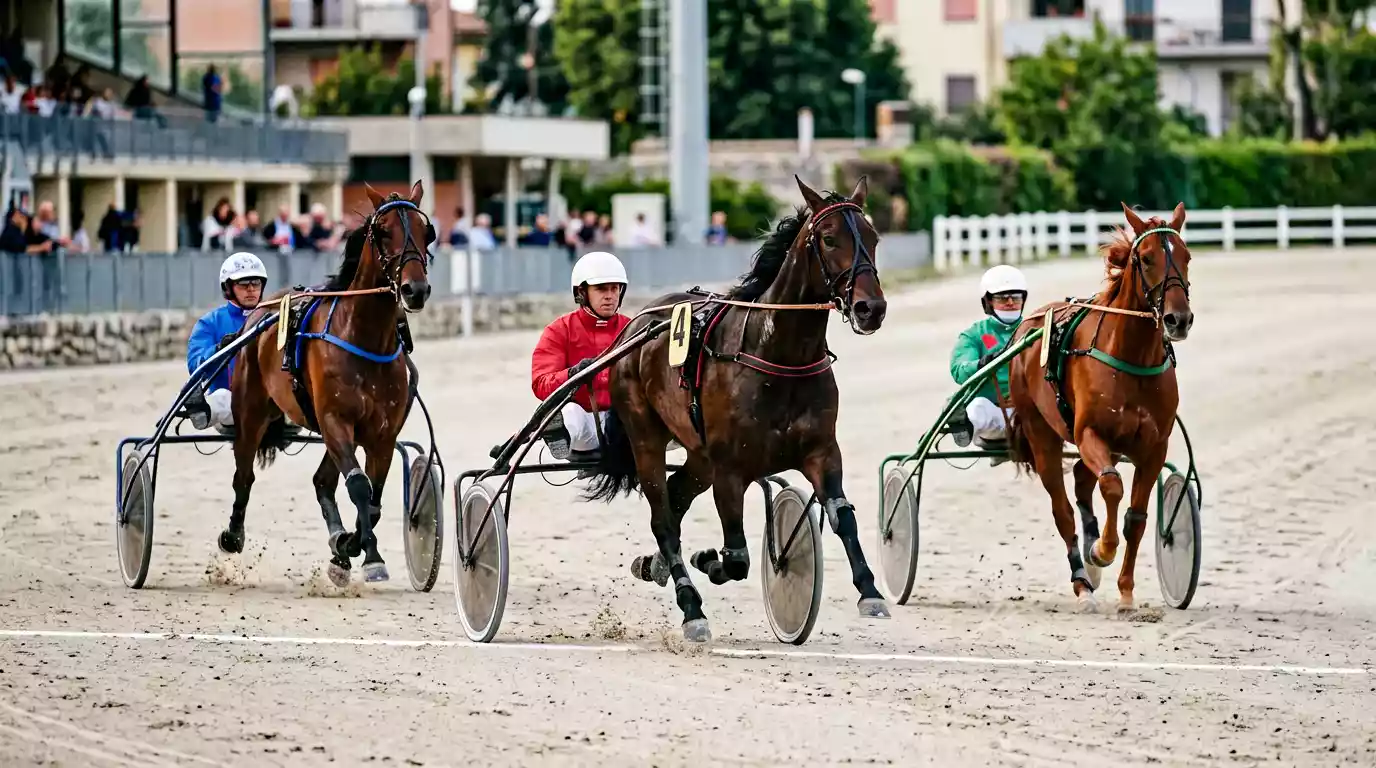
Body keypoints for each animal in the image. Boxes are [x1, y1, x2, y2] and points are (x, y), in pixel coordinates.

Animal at [217, 182, 435, 587]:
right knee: (244, 475)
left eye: (426, 231)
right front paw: (363, 552)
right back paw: (233, 535)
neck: (365, 339)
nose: (415, 289)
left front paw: (353, 548)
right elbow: (359, 486)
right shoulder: (336, 421)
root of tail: (259, 312)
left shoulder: (382, 434)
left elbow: (373, 499)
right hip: (251, 412)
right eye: (384, 232)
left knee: (322, 480)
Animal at [582, 175, 891, 642]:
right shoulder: (731, 470)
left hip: (698, 454)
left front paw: (870, 592)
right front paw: (708, 561)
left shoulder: (822, 452)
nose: (870, 308)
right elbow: (737, 557)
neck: (778, 354)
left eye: (872, 238)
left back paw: (655, 564)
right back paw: (691, 608)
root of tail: (636, 325)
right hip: (647, 438)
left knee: (676, 496)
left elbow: (844, 520)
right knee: (663, 519)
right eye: (829, 238)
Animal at [1006, 202, 1193, 612]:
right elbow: (1111, 486)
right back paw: (1083, 581)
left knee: (1080, 476)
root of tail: (1026, 326)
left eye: (1187, 256)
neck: (1131, 357)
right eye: (1146, 257)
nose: (1179, 319)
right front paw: (1102, 551)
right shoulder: (1090, 433)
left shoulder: (1154, 447)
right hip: (1041, 433)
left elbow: (1136, 517)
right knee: (1063, 509)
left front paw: (1126, 590)